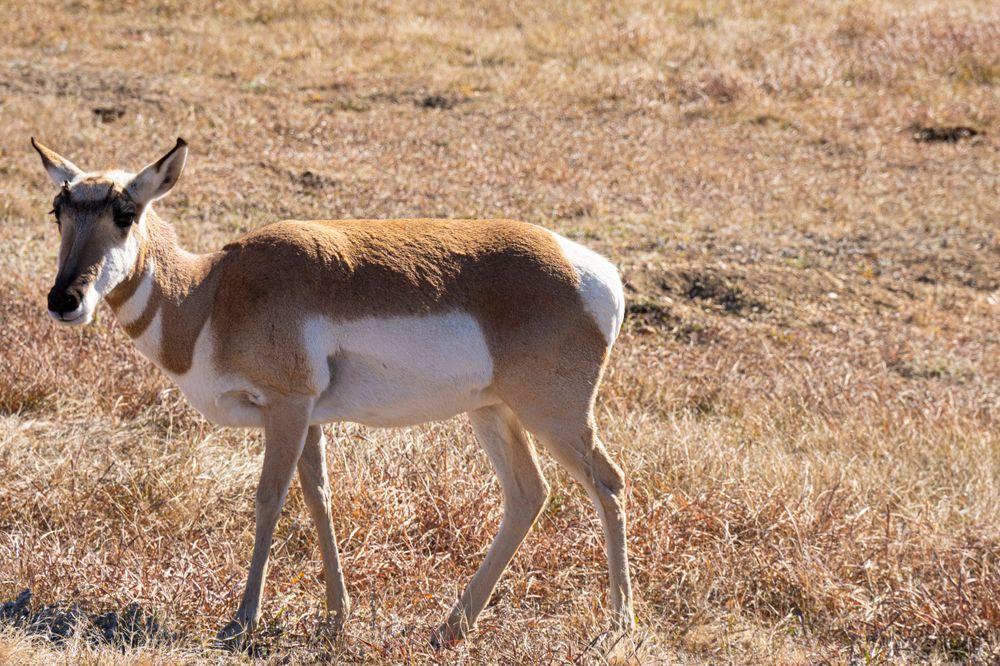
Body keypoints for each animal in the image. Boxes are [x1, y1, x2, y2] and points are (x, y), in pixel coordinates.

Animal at [30, 137, 635, 646]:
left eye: (124, 213)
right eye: (60, 211)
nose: (64, 300)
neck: (212, 294)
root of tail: (593, 270)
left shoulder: (288, 407)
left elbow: (269, 499)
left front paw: (242, 621)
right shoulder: (311, 419)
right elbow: (319, 498)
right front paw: (336, 615)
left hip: (555, 416)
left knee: (608, 482)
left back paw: (616, 626)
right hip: (493, 412)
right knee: (528, 493)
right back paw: (449, 629)